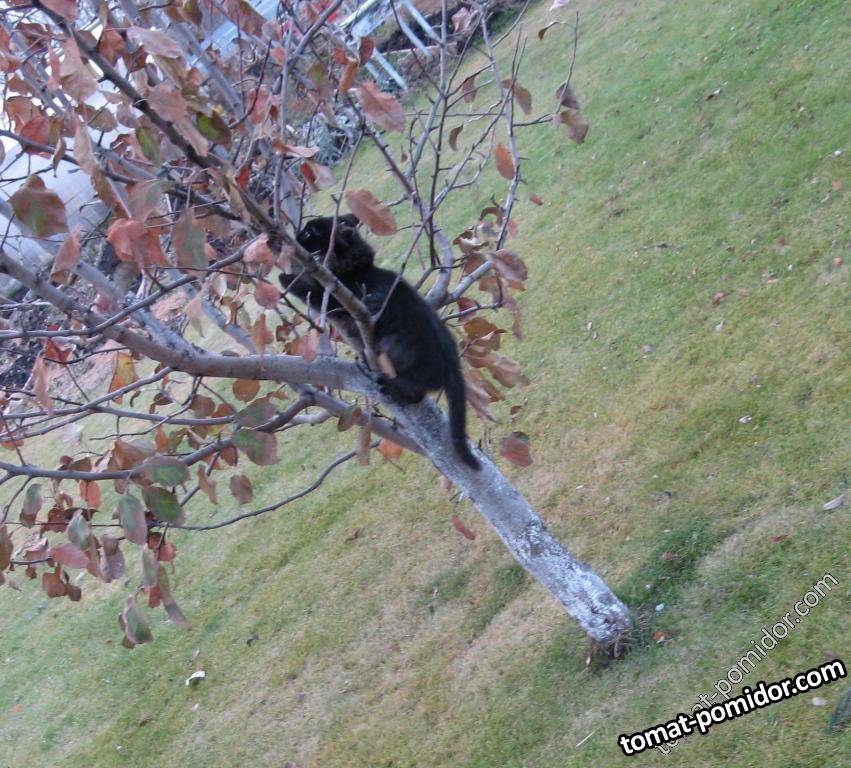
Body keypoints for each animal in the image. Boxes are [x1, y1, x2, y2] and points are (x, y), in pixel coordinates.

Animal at [280, 214, 481, 470]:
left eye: (309, 233)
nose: (295, 236)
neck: (357, 271)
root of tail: (453, 366)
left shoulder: (335, 297)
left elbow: (307, 290)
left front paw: (284, 275)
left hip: (396, 344)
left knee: (417, 391)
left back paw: (389, 384)